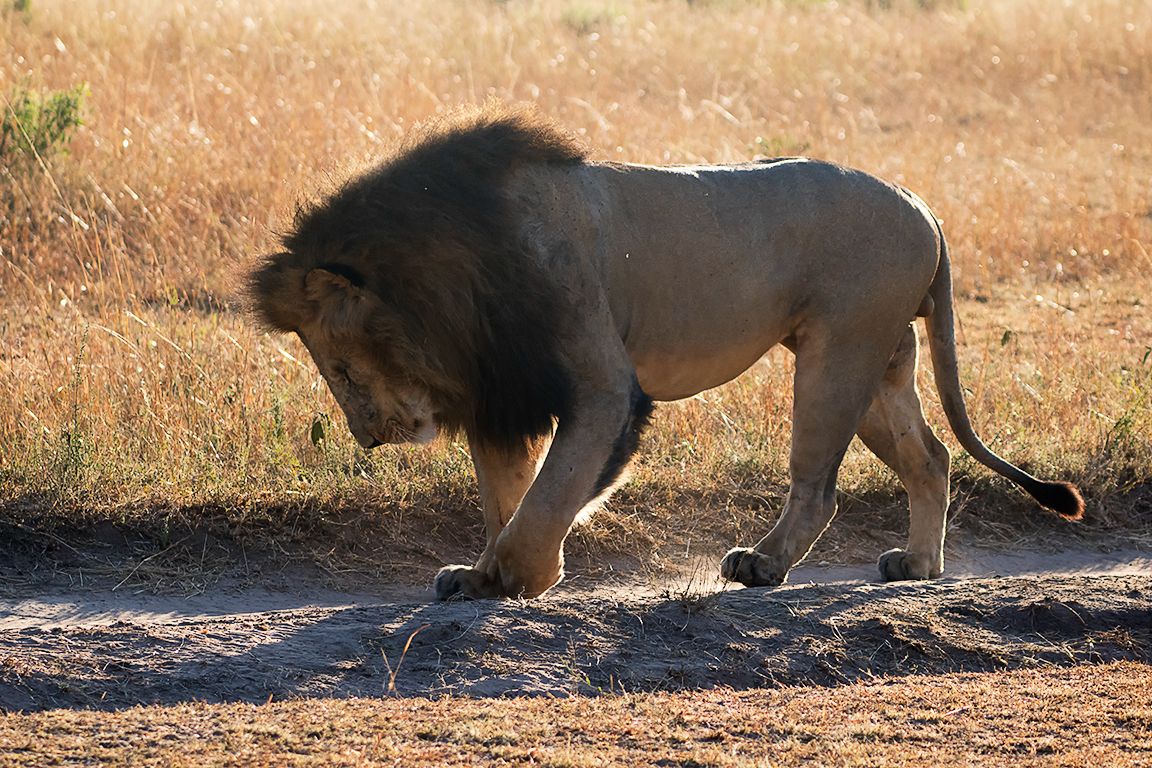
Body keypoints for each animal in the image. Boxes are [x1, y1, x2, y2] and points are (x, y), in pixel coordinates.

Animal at [247, 105, 1083, 600]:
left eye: (342, 368)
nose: (367, 437)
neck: (454, 277)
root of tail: (925, 208)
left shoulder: (601, 386)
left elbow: (552, 494)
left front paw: (515, 575)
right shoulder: (500, 391)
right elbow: (505, 494)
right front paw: (480, 569)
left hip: (838, 352)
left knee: (819, 485)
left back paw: (763, 565)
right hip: (880, 360)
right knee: (931, 458)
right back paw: (918, 565)